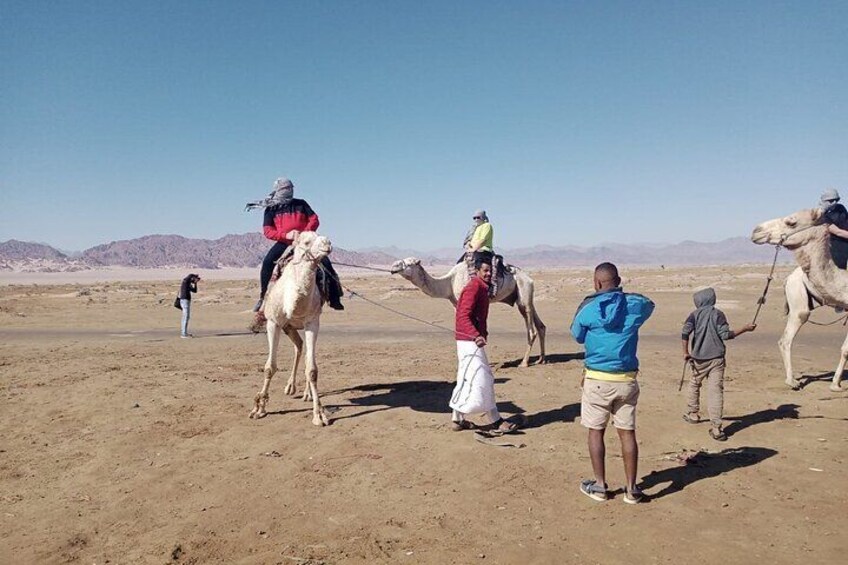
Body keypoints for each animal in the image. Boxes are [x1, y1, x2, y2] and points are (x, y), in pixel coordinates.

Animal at [248, 231, 332, 426]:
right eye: (307, 242)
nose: (328, 244)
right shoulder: (274, 322)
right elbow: (269, 367)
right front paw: (259, 408)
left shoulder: (312, 323)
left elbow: (312, 370)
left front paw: (319, 415)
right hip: (288, 327)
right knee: (299, 346)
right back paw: (290, 387)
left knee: (304, 350)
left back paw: (306, 393)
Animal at [390, 256, 548, 366]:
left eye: (409, 263)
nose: (393, 266)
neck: (449, 282)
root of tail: (529, 278)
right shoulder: (457, 304)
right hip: (526, 296)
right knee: (541, 325)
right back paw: (541, 359)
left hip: (523, 294)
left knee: (531, 329)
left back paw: (524, 363)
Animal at [752, 208, 844, 392]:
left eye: (791, 222)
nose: (756, 231)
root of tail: (788, 278)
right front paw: (836, 385)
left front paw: (835, 383)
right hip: (797, 299)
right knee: (787, 336)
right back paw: (792, 381)